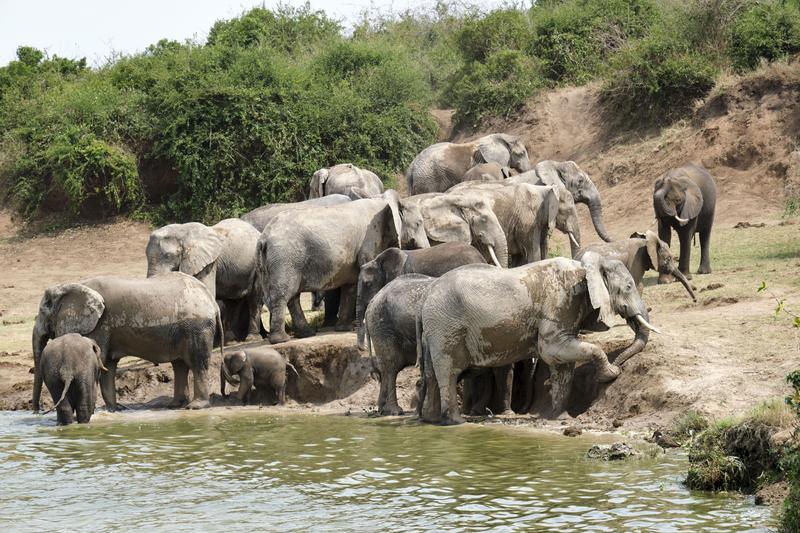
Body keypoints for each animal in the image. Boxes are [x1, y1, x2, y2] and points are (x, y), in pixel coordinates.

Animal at [32, 274, 222, 412]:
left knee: (197, 363)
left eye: (43, 310)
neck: (76, 284)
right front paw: (113, 410)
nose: (36, 411)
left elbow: (100, 361)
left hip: (197, 328)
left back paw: (195, 407)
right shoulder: (104, 328)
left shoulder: (99, 325)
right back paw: (175, 405)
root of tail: (211, 301)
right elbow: (107, 365)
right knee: (180, 365)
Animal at [258, 189, 432, 342]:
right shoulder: (370, 239)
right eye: (419, 223)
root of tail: (264, 237)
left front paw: (344, 328)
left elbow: (351, 285)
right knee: (284, 293)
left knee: (292, 296)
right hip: (285, 258)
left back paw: (305, 334)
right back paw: (281, 340)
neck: (384, 201)